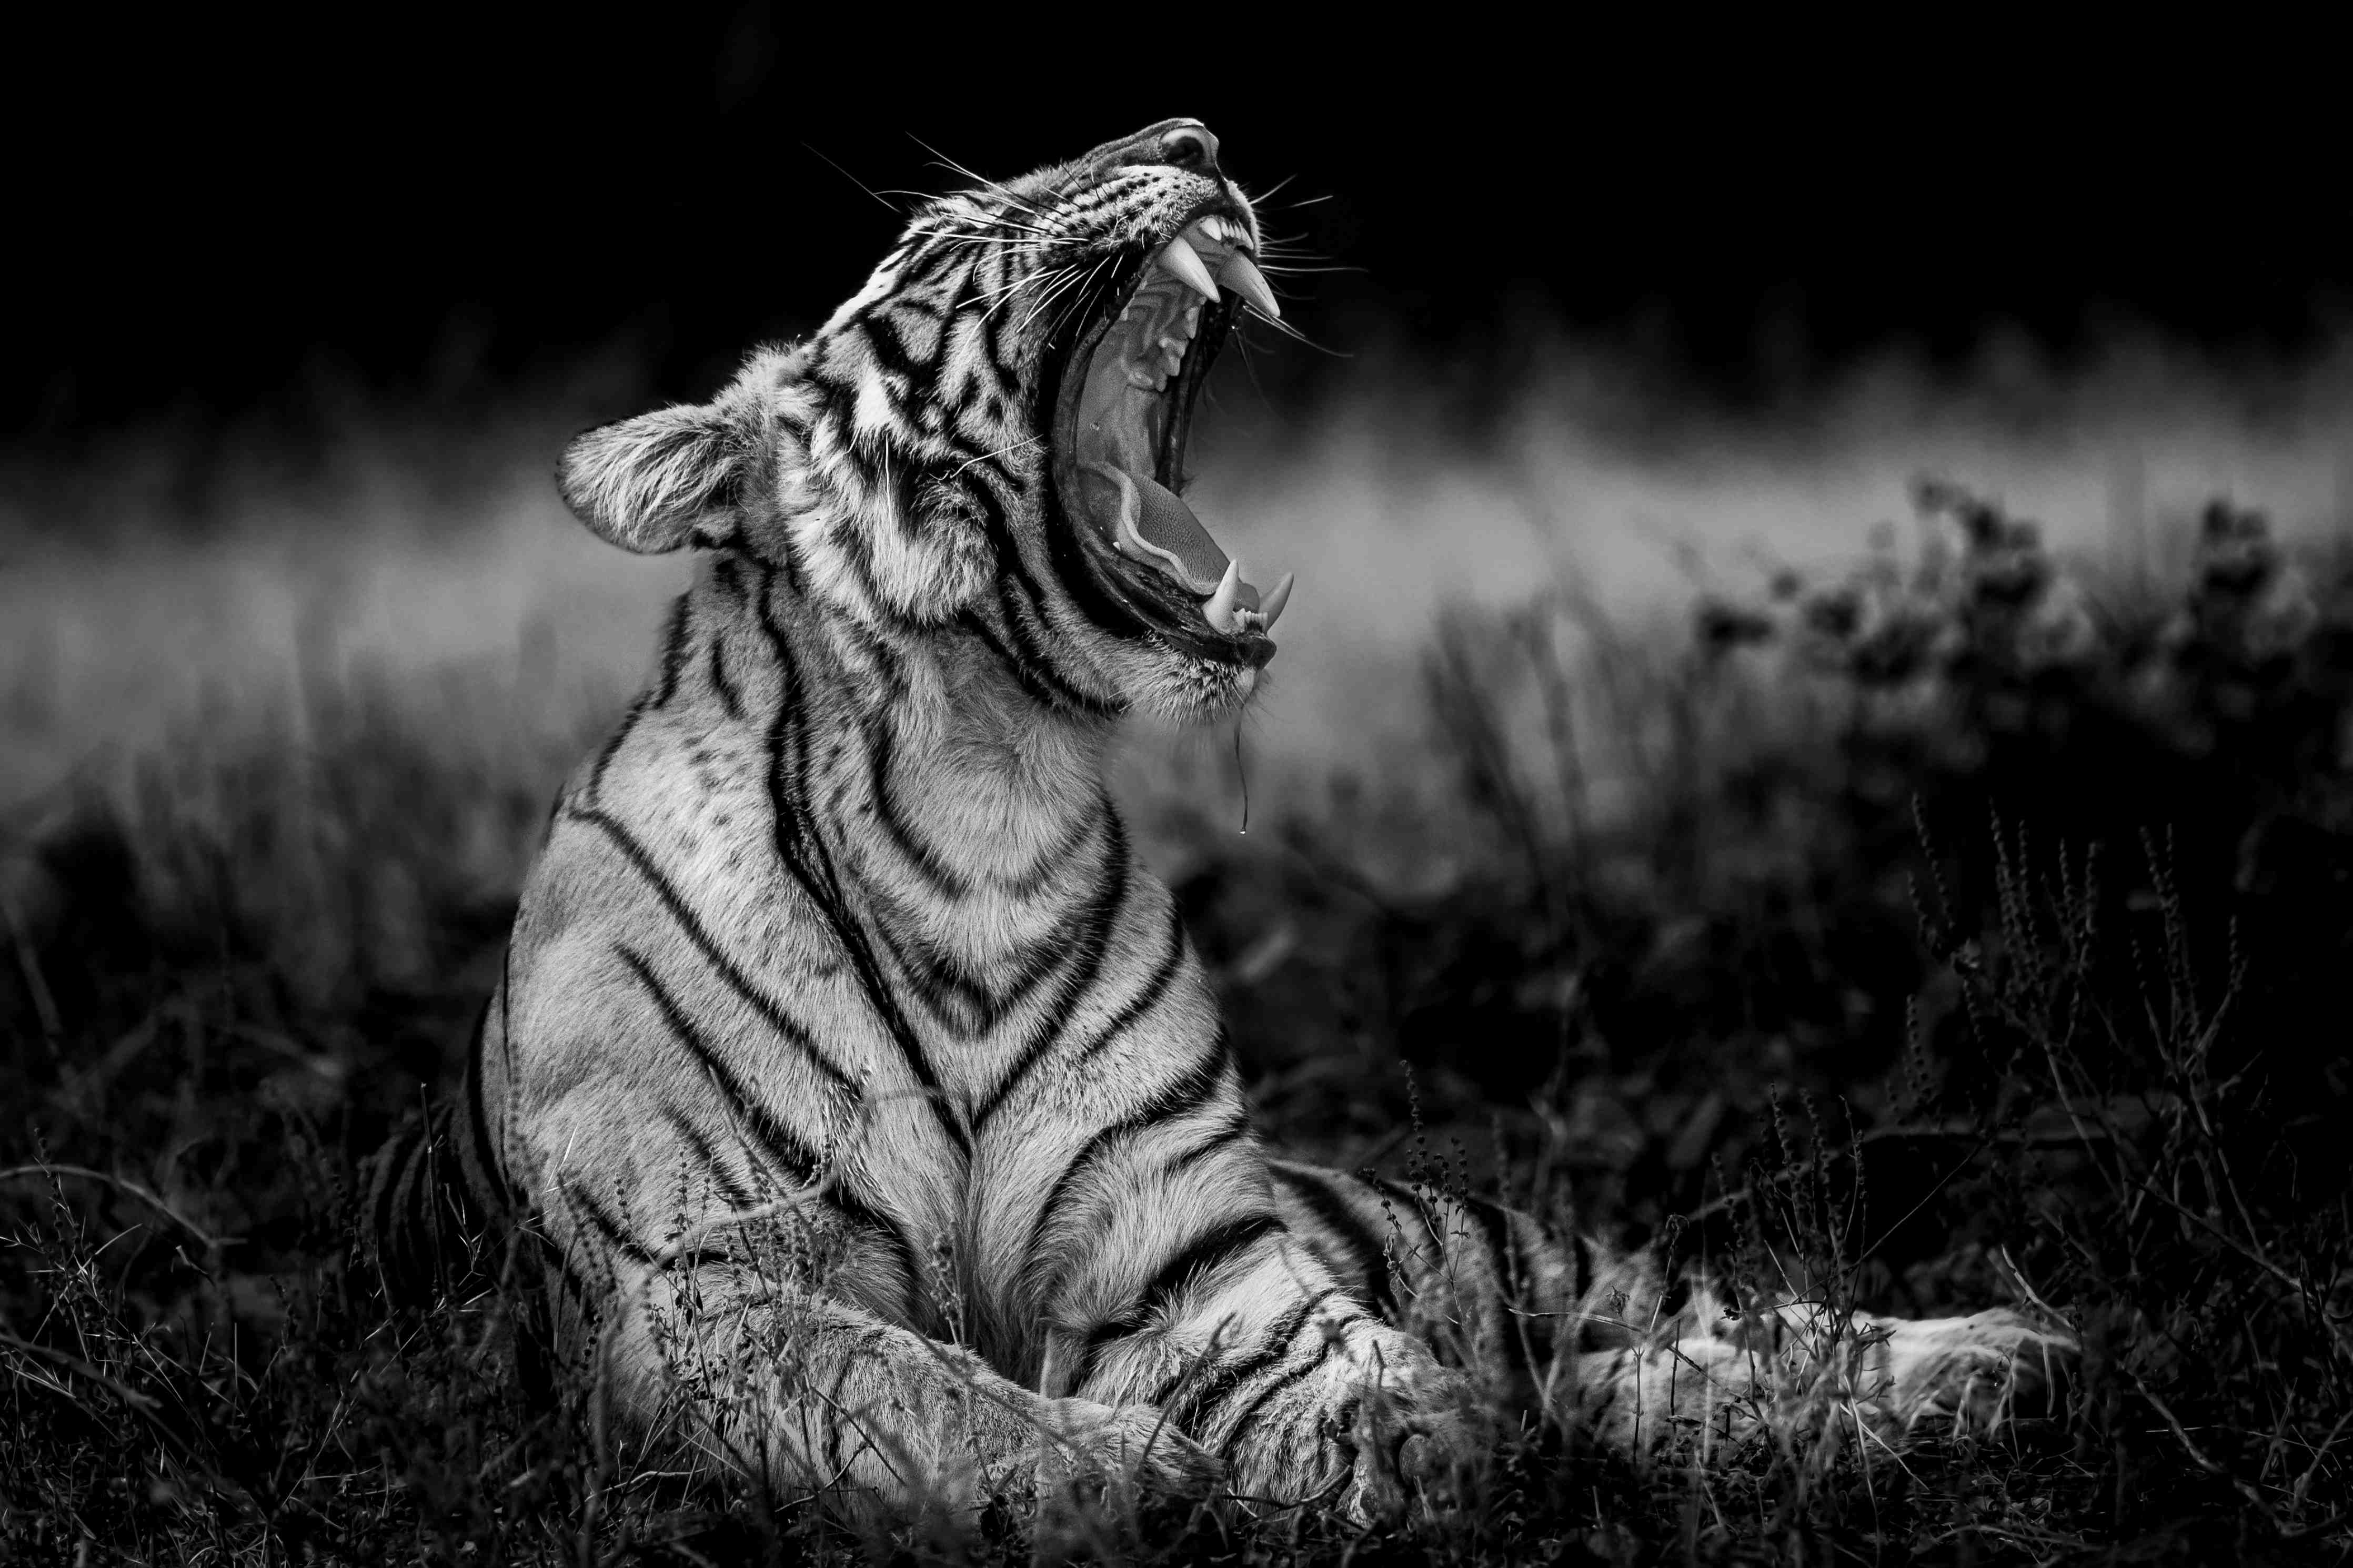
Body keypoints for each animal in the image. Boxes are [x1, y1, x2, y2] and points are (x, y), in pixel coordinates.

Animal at [365, 118, 2074, 1531]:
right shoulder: (704, 1282)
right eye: (951, 228)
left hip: (1489, 1236)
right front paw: (1129, 1472)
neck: (979, 801)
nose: (1188, 136)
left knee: (1707, 1308)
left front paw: (1413, 1434)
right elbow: (910, 1392)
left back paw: (1986, 1354)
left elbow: (1324, 1354)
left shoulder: (1187, 1250)